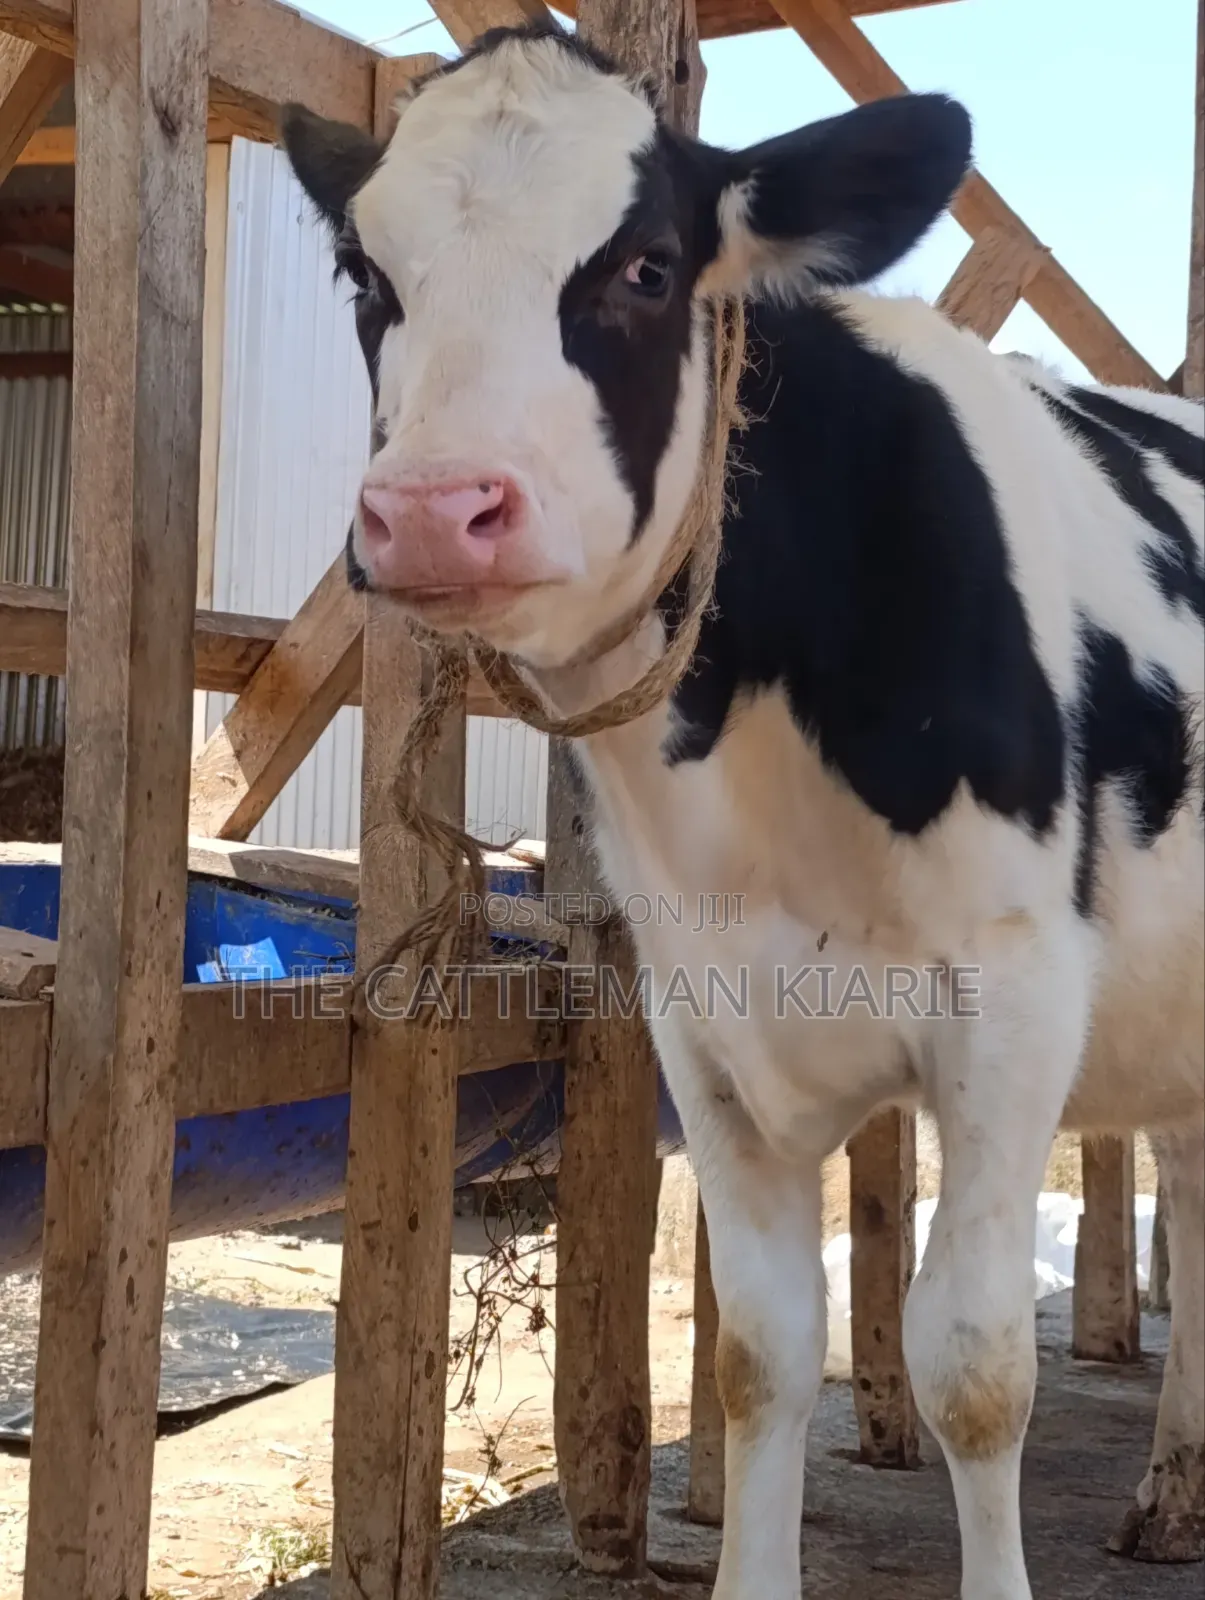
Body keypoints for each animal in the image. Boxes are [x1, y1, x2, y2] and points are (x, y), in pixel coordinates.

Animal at [282, 22, 1204, 1597]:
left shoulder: (1017, 996)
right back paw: (1172, 1493)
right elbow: (760, 1353)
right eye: (362, 273)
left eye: (648, 267)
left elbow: (972, 1366)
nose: (433, 510)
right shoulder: (703, 1017)